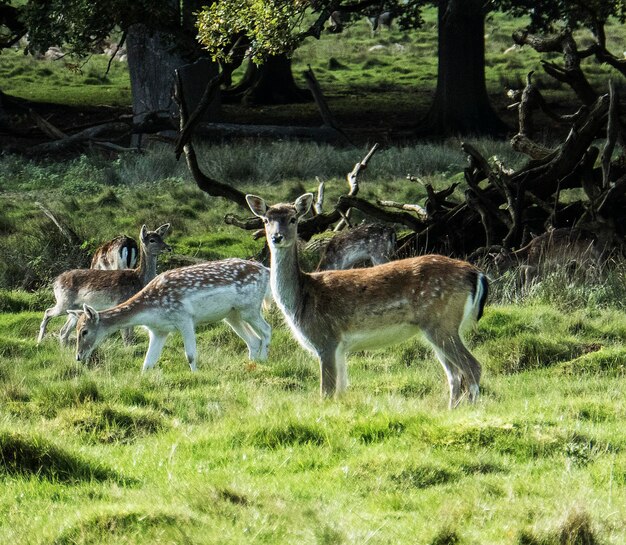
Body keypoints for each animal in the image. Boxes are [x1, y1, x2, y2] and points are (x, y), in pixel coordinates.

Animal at [38, 222, 171, 344]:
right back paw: (39, 340)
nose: (169, 248)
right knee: (48, 312)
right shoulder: (120, 301)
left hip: (75, 307)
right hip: (64, 302)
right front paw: (127, 346)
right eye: (152, 240)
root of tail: (55, 282)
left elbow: (130, 329)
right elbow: (125, 332)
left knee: (63, 331)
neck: (139, 280)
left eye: (161, 237)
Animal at [71, 258, 270, 370]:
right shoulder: (159, 330)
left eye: (84, 331)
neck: (150, 310)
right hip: (232, 315)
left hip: (250, 307)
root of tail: (266, 271)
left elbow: (190, 355)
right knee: (253, 340)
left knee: (267, 330)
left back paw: (264, 360)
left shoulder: (184, 318)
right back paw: (252, 364)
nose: (78, 357)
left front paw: (196, 376)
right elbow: (148, 363)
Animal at [245, 193, 488, 406]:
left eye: (293, 218)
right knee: (455, 374)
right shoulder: (340, 349)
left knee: (472, 367)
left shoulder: (326, 339)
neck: (300, 301)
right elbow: (340, 392)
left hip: (441, 321)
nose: (277, 237)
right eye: (266, 220)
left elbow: (326, 392)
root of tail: (476, 274)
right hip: (440, 328)